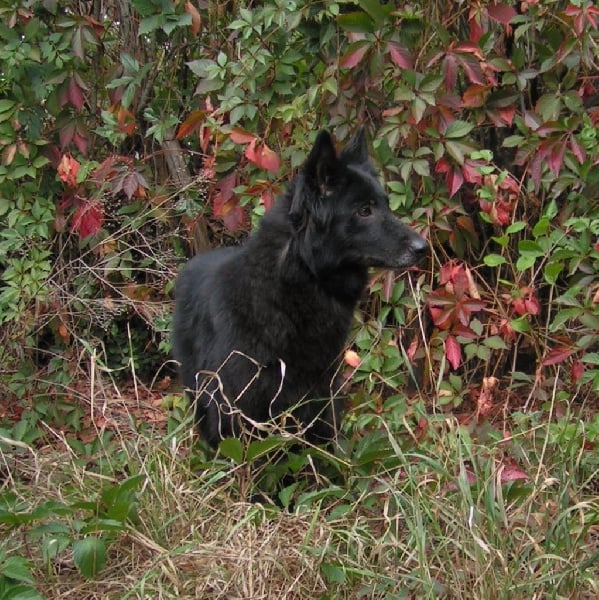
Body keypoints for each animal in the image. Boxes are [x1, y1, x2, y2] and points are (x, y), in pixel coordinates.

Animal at [172, 127, 426, 446]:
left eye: (385, 205)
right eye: (364, 210)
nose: (423, 247)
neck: (299, 275)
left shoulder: (320, 393)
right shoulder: (237, 404)